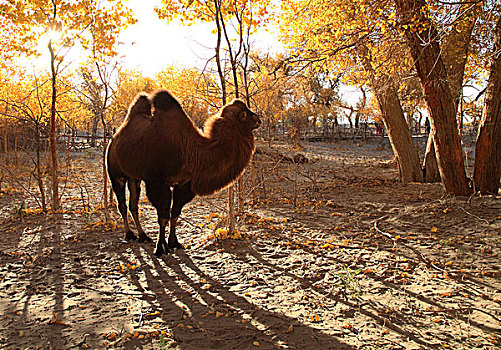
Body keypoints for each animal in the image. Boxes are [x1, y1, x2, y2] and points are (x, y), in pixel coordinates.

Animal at [106, 89, 262, 256]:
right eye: (244, 114)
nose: (259, 119)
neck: (191, 151)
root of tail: (113, 138)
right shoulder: (157, 182)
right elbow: (163, 216)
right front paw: (160, 247)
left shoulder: (184, 183)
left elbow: (175, 213)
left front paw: (174, 243)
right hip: (116, 174)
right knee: (122, 204)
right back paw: (129, 235)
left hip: (133, 177)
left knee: (133, 205)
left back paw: (143, 236)